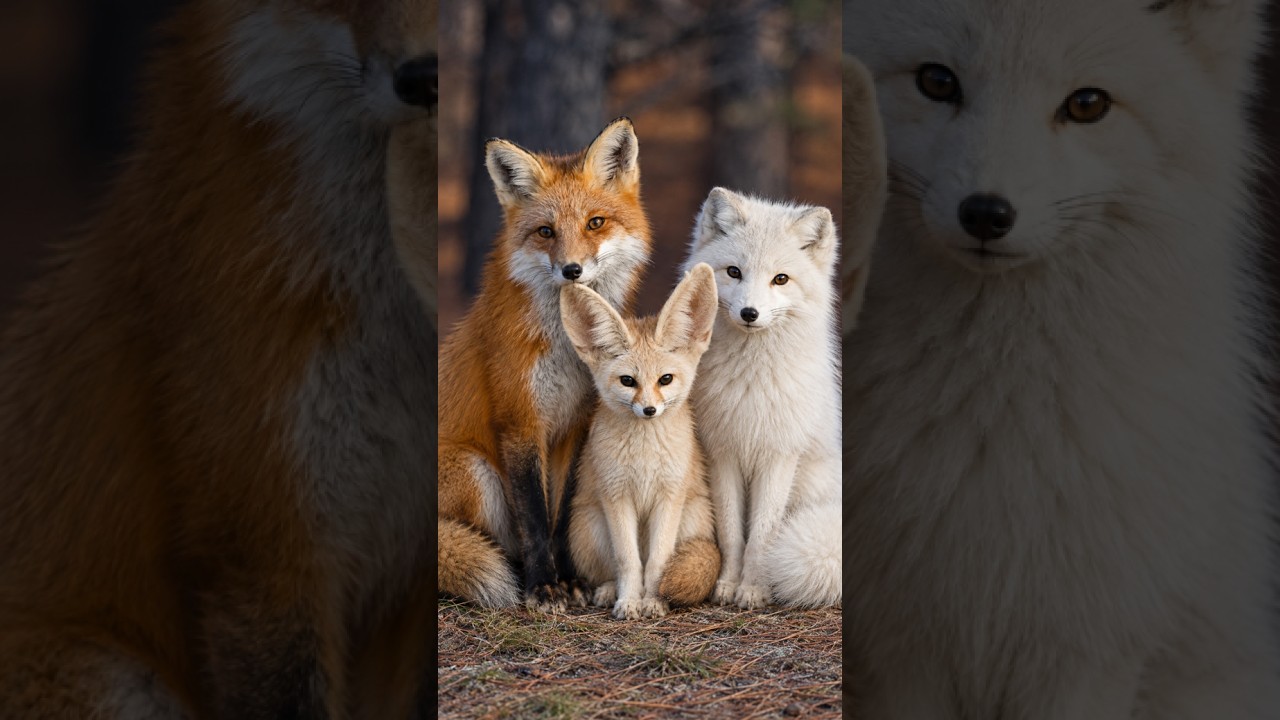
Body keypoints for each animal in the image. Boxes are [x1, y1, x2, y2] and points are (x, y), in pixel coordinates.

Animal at [437, 118, 652, 613]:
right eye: (545, 232)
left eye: (595, 223)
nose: (572, 270)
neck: (568, 353)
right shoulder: (520, 420)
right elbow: (535, 517)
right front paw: (543, 585)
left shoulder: (576, 423)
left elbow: (561, 514)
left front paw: (568, 578)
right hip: (477, 473)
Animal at [561, 263, 722, 620]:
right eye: (628, 381)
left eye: (665, 379)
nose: (649, 410)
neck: (645, 456)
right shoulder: (616, 496)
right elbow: (629, 561)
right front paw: (629, 601)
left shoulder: (669, 496)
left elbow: (658, 561)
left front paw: (653, 600)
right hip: (591, 528)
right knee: (608, 572)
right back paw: (609, 591)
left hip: (691, 518)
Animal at [681, 189, 842, 610]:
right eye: (734, 272)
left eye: (780, 279)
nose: (749, 313)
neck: (750, 381)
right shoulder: (722, 453)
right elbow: (732, 532)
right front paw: (727, 584)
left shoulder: (779, 456)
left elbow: (763, 535)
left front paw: (754, 587)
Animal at [845, 0, 1280, 716]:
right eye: (937, 81)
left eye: (1087, 104)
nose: (986, 213)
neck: (989, 419)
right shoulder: (898, 650)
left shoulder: (1086, 651)